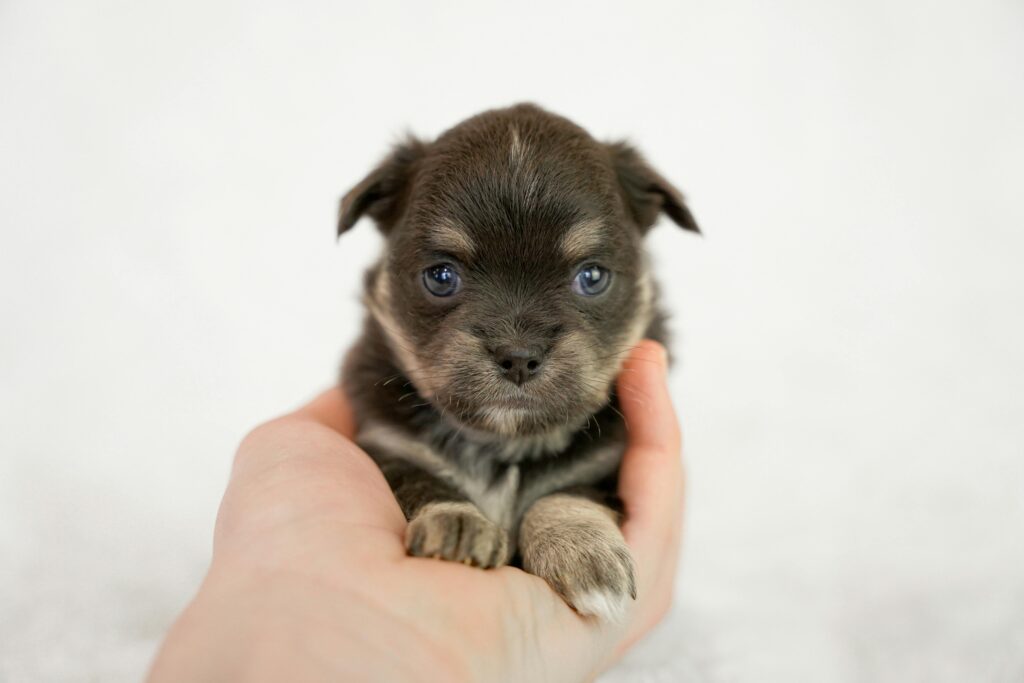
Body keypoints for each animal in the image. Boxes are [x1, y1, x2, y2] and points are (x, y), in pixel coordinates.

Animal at [335, 102, 696, 618]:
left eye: (592, 277)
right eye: (441, 276)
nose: (518, 357)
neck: (502, 443)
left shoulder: (602, 465)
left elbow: (566, 491)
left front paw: (582, 548)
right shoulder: (388, 445)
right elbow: (421, 482)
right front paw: (456, 525)